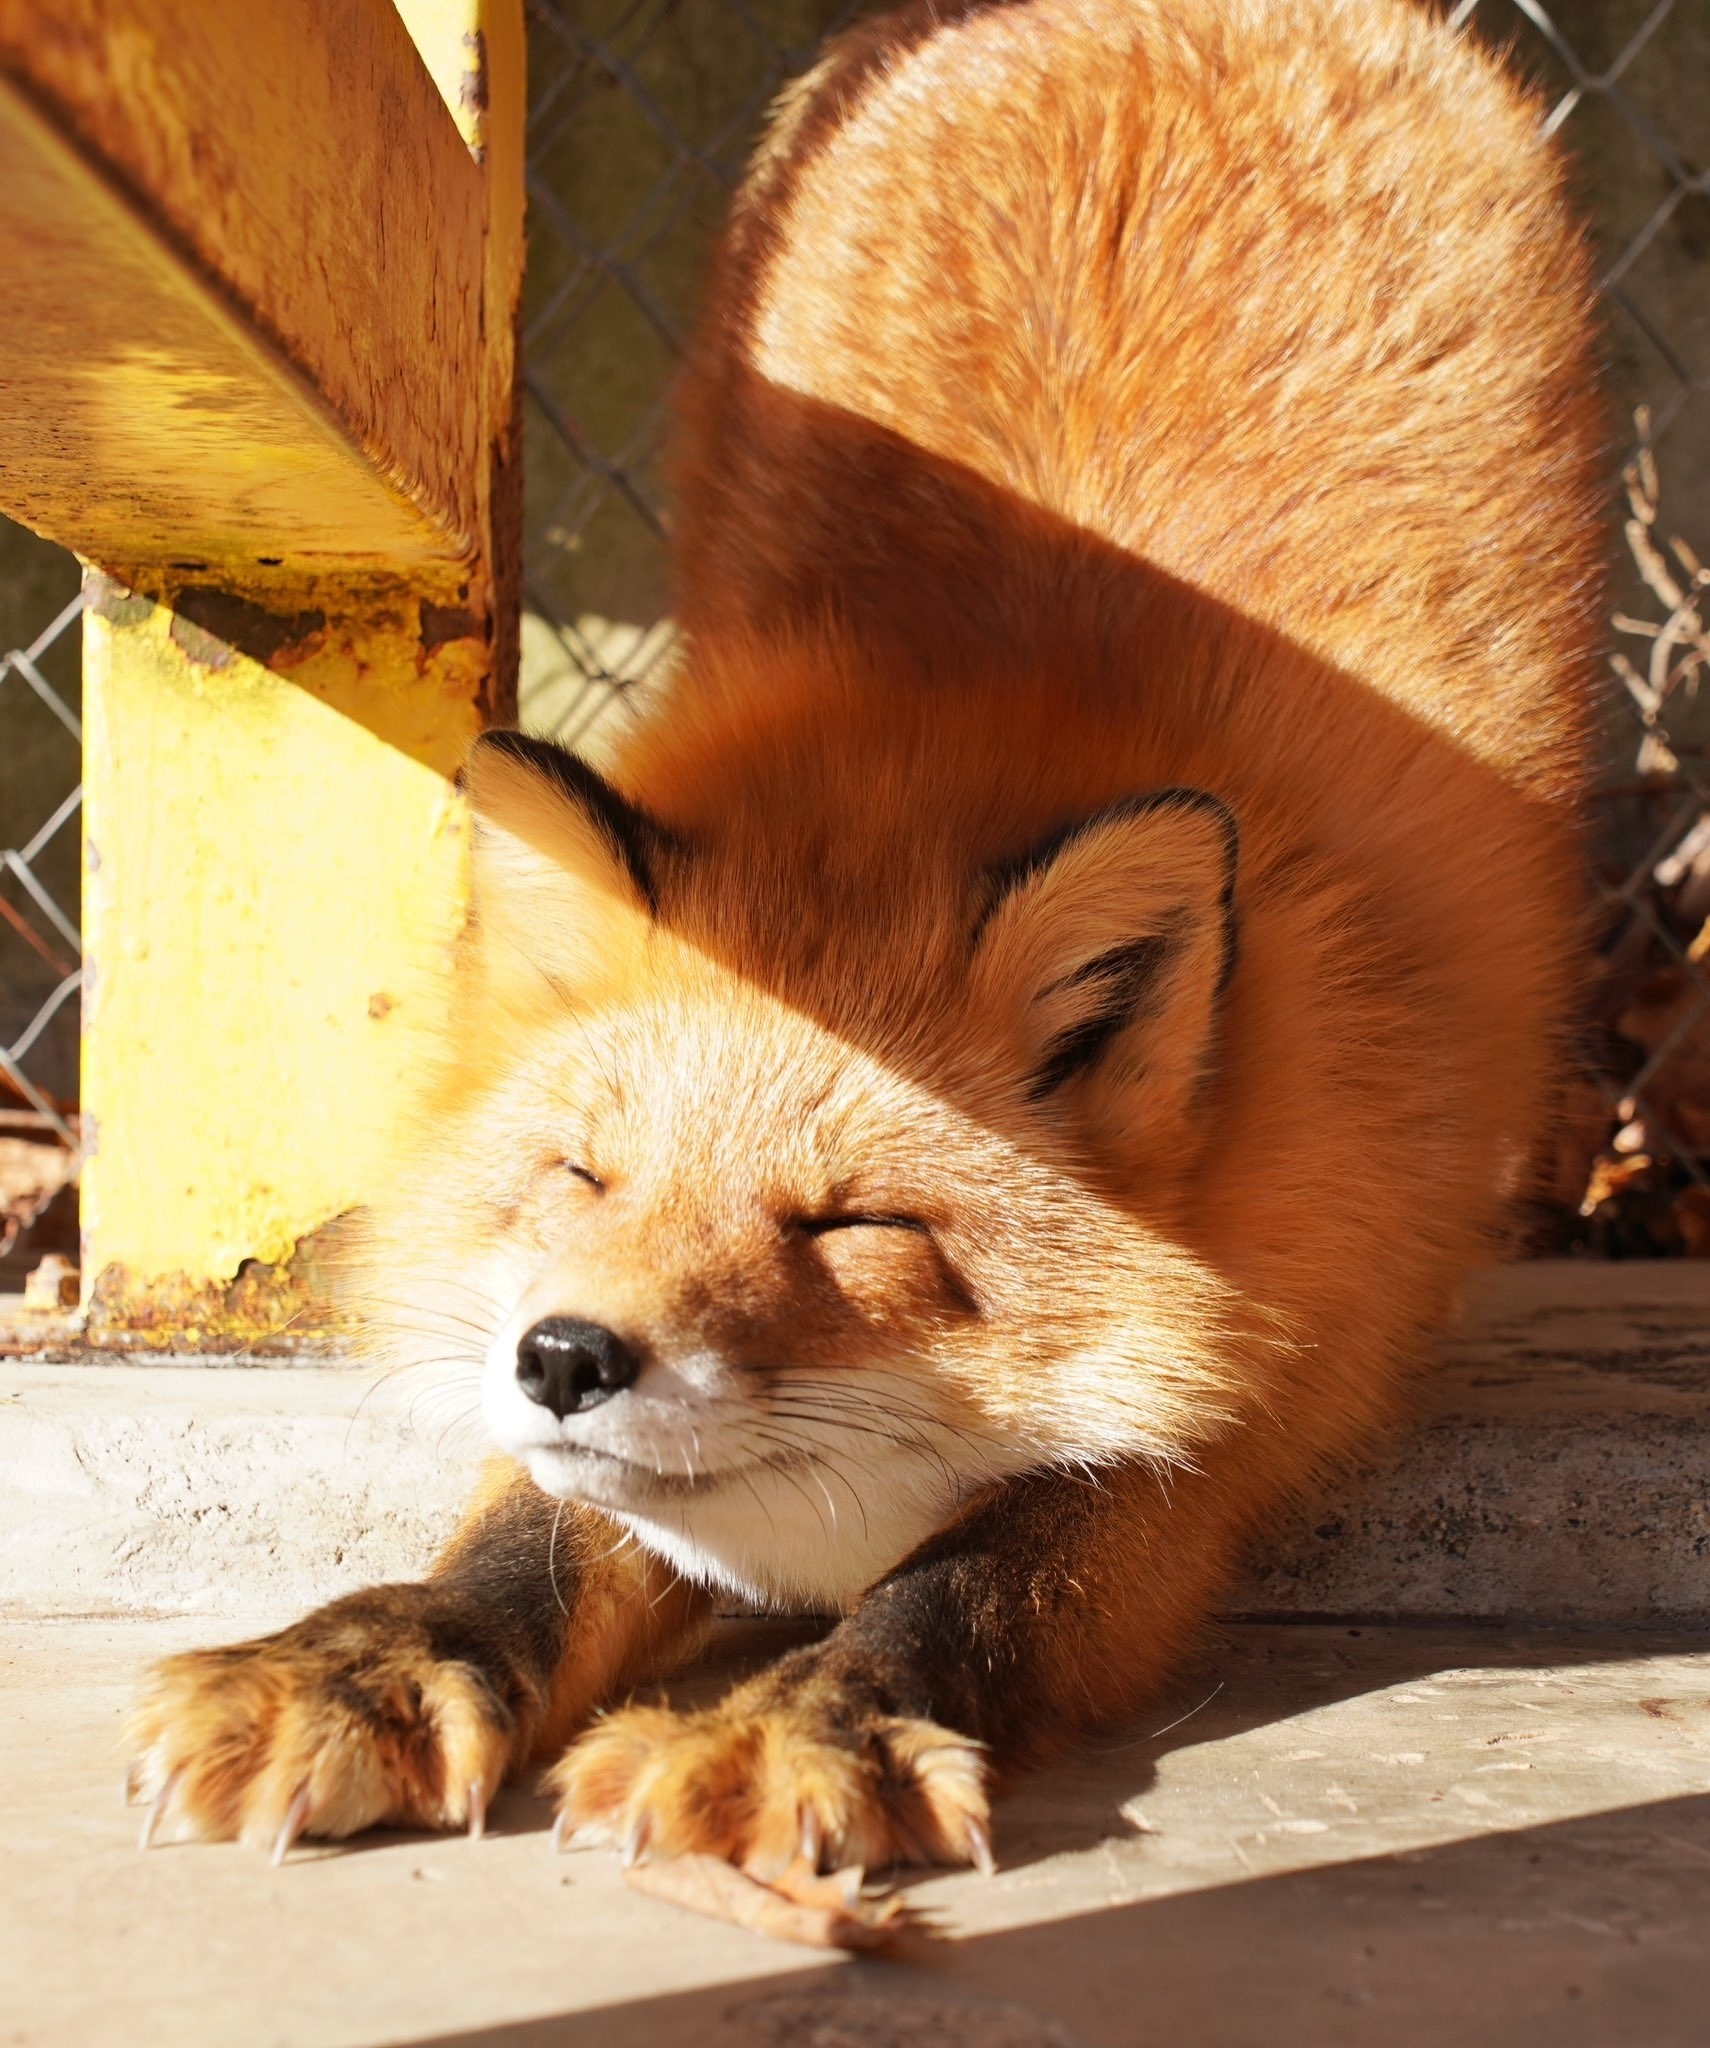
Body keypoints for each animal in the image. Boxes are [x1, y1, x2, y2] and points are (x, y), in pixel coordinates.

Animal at [128, 0, 1602, 1885]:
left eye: (855, 1227)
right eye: (583, 1177)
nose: (564, 1355)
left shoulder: (1253, 1369)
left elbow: (976, 1575)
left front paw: (805, 1720)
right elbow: (533, 1533)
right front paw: (379, 1654)